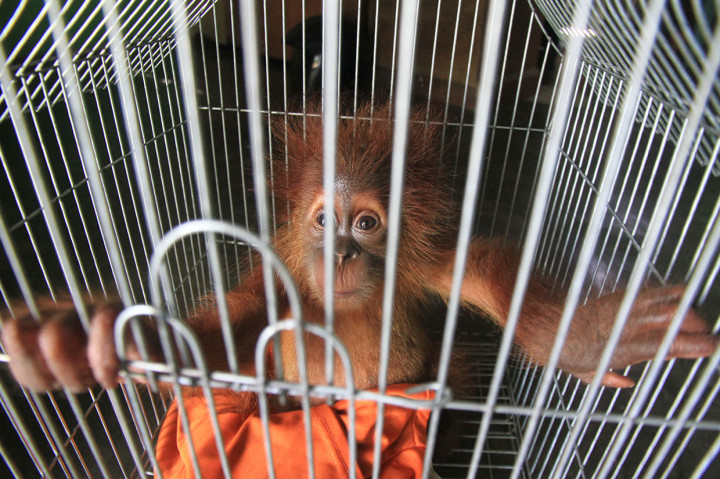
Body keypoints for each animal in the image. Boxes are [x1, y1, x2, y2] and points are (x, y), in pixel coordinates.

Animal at [1, 100, 718, 403]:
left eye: (367, 223)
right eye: (326, 222)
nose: (343, 252)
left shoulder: (419, 261)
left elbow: (484, 274)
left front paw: (592, 335)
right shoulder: (276, 277)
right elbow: (219, 338)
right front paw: (79, 338)